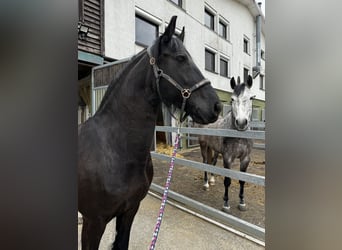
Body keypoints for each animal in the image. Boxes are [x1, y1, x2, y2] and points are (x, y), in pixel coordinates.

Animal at [196, 75, 255, 213]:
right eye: (232, 99)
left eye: (250, 98)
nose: (241, 123)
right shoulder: (228, 158)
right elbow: (227, 181)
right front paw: (226, 204)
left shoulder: (245, 158)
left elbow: (242, 180)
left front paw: (242, 202)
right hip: (203, 145)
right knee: (205, 162)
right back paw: (206, 184)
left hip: (216, 150)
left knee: (213, 162)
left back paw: (212, 180)